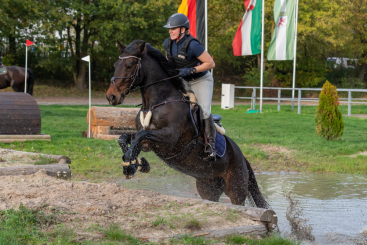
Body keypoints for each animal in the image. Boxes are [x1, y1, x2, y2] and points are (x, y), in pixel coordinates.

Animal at [106, 40, 270, 209]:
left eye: (129, 65)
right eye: (115, 64)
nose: (111, 96)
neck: (156, 103)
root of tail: (243, 158)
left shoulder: (169, 139)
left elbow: (140, 135)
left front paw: (132, 164)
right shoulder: (147, 141)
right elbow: (125, 138)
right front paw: (135, 164)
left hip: (236, 189)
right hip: (209, 188)